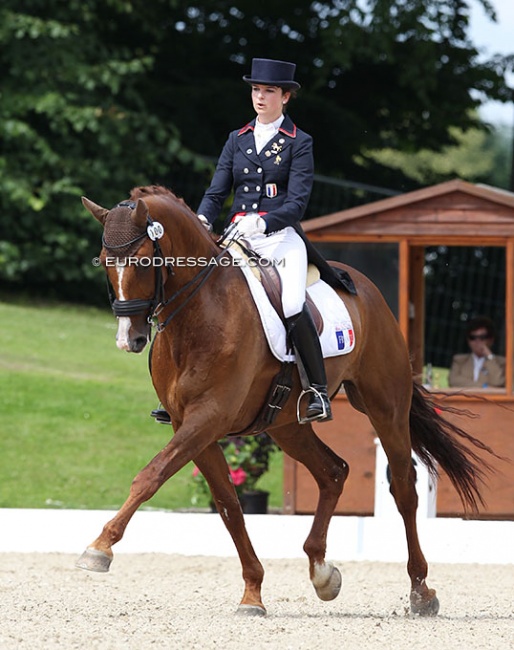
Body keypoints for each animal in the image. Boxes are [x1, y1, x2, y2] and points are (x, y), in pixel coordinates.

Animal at [79, 185, 492, 616]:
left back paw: (421, 591)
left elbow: (151, 475)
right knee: (334, 471)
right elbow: (228, 505)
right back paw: (323, 573)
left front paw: (99, 548)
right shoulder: (190, 425)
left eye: (143, 262)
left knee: (405, 488)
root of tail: (368, 289)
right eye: (106, 262)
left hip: (385, 406)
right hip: (286, 426)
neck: (200, 312)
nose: (129, 339)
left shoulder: (208, 417)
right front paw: (252, 593)